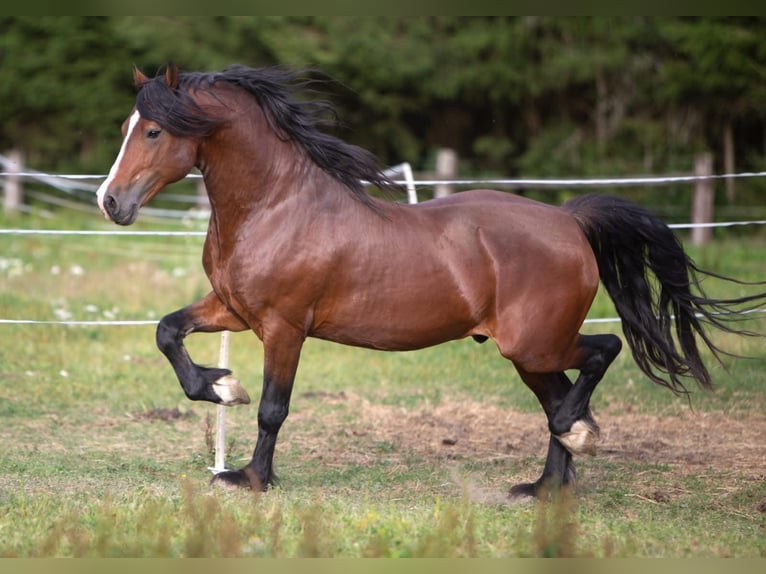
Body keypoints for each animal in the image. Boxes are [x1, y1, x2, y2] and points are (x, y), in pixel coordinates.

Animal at [96, 63, 766, 499]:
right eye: (128, 126)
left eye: (153, 130)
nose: (110, 202)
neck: (275, 206)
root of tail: (570, 220)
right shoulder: (234, 309)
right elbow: (168, 332)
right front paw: (220, 386)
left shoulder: (284, 328)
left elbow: (272, 409)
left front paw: (251, 477)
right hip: (529, 353)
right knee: (557, 398)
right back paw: (547, 483)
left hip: (534, 342)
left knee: (602, 352)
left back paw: (578, 440)